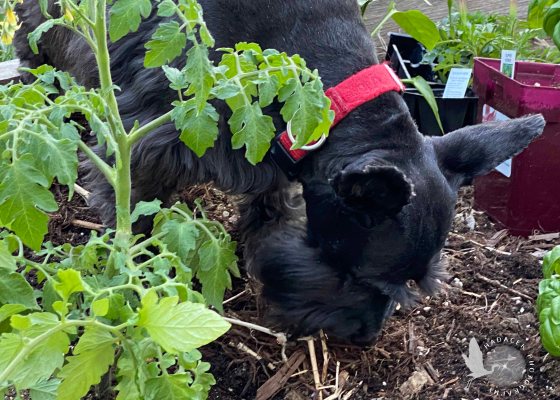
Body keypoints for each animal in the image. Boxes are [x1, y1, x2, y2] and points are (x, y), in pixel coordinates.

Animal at [14, 0, 545, 344]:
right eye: (359, 277)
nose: (366, 338)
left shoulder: (273, 155)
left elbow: (268, 213)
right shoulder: (152, 137)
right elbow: (133, 206)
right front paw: (136, 269)